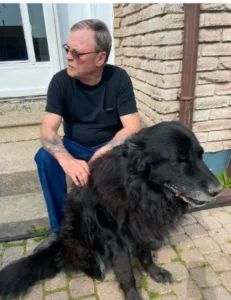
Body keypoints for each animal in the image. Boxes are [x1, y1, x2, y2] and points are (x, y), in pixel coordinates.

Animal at [0, 120, 222, 298]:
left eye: (201, 156)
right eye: (180, 160)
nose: (218, 190)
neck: (139, 189)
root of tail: (61, 244)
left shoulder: (141, 228)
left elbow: (146, 256)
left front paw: (154, 272)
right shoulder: (117, 240)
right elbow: (127, 275)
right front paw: (133, 296)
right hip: (79, 238)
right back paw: (95, 269)